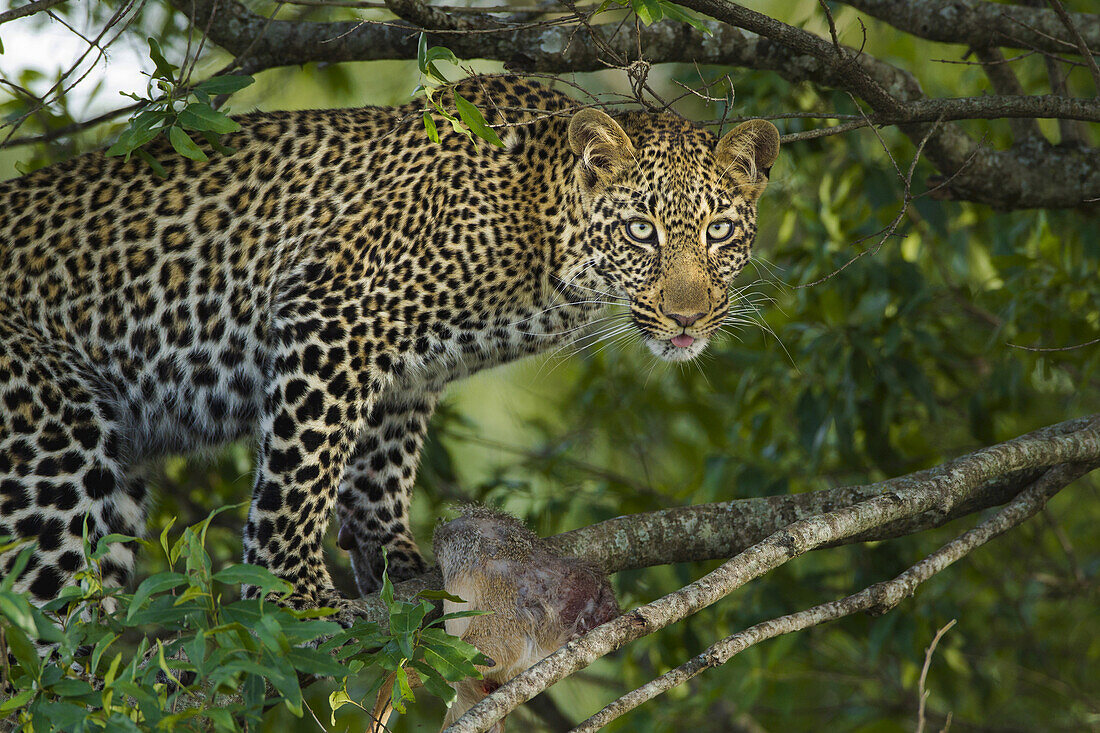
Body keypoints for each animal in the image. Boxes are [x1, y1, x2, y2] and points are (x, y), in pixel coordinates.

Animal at [0, 75, 778, 616]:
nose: (687, 317)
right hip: (54, 441)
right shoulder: (332, 314)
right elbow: (301, 475)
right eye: (641, 231)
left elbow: (379, 468)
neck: (548, 236)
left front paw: (396, 561)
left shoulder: (406, 373)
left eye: (719, 232)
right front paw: (290, 594)